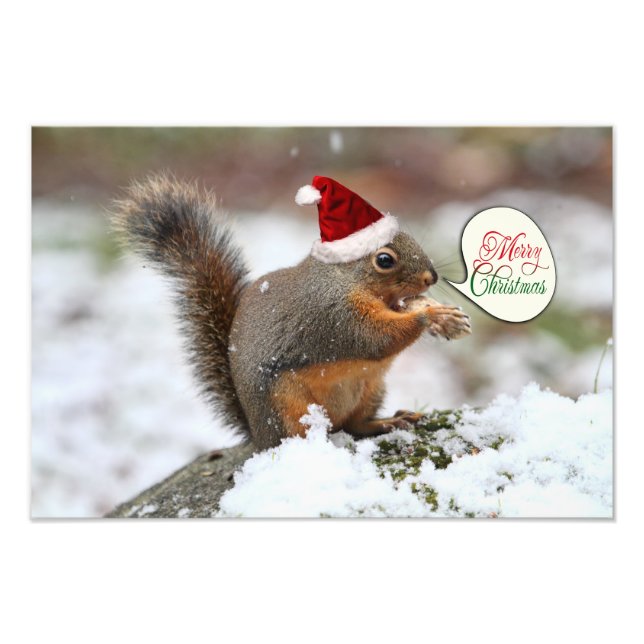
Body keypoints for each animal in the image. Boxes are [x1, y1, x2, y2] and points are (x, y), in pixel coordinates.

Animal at [112, 174, 471, 450]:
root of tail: (258, 437)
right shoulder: (334, 314)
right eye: (384, 260)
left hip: (370, 389)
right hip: (287, 407)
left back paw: (387, 422)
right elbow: (373, 339)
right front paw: (431, 316)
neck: (344, 279)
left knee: (355, 425)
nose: (431, 277)